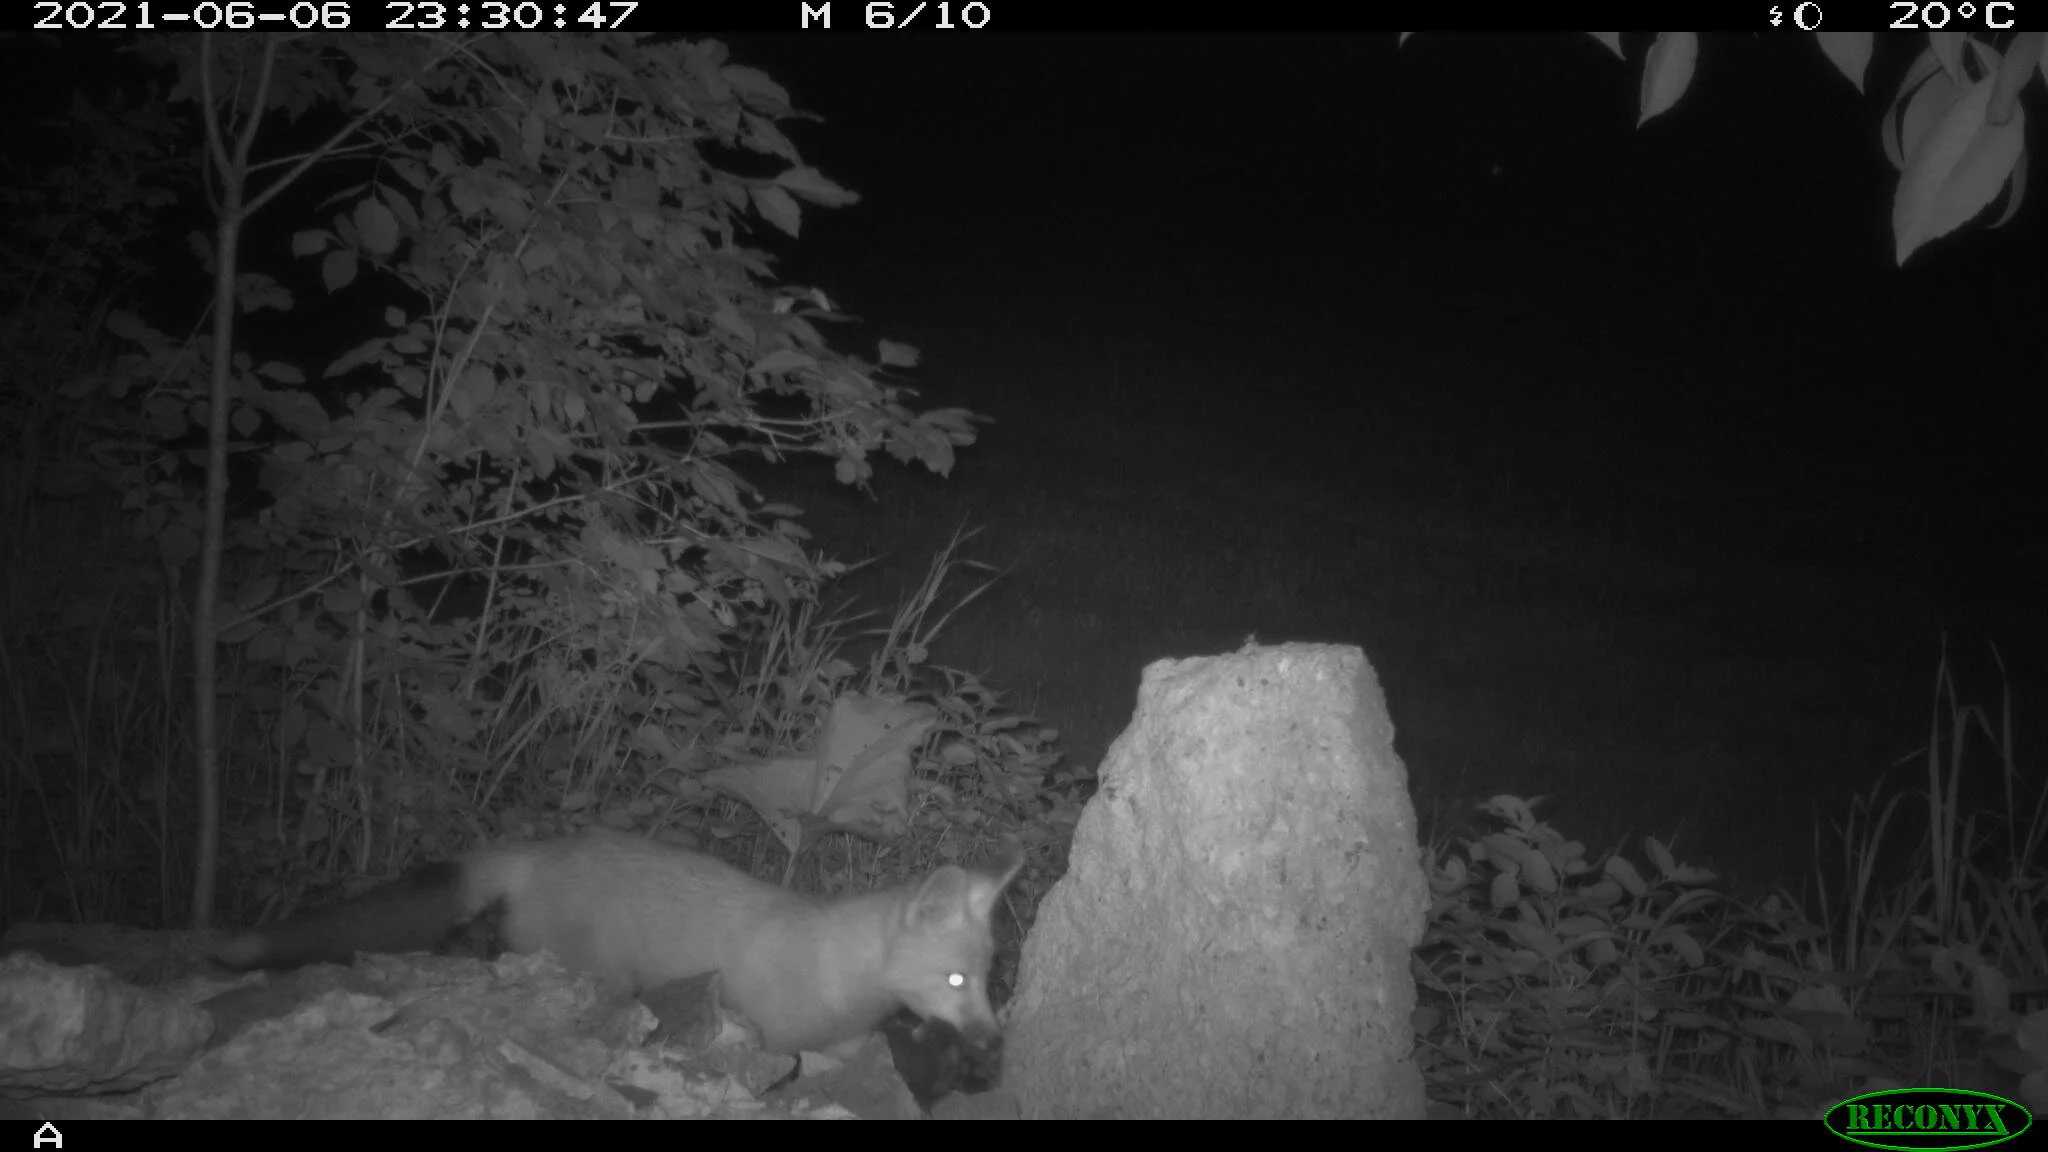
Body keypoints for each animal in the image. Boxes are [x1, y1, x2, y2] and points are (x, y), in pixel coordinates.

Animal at [215, 829, 1024, 1058]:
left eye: (989, 981)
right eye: (955, 982)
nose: (993, 1044)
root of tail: (537, 850)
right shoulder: (771, 1034)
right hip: (599, 972)